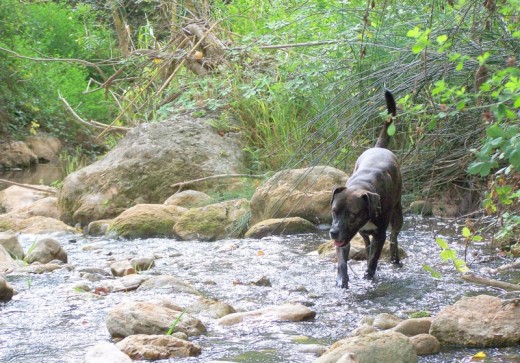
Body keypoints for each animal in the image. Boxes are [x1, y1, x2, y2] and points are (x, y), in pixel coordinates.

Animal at [330, 91, 402, 290]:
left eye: (352, 214)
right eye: (334, 212)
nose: (333, 232)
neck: (361, 186)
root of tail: (379, 148)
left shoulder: (380, 235)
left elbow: (374, 259)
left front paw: (369, 276)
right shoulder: (345, 237)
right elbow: (342, 260)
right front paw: (342, 280)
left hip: (398, 212)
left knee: (394, 236)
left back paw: (395, 258)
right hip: (361, 233)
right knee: (366, 242)